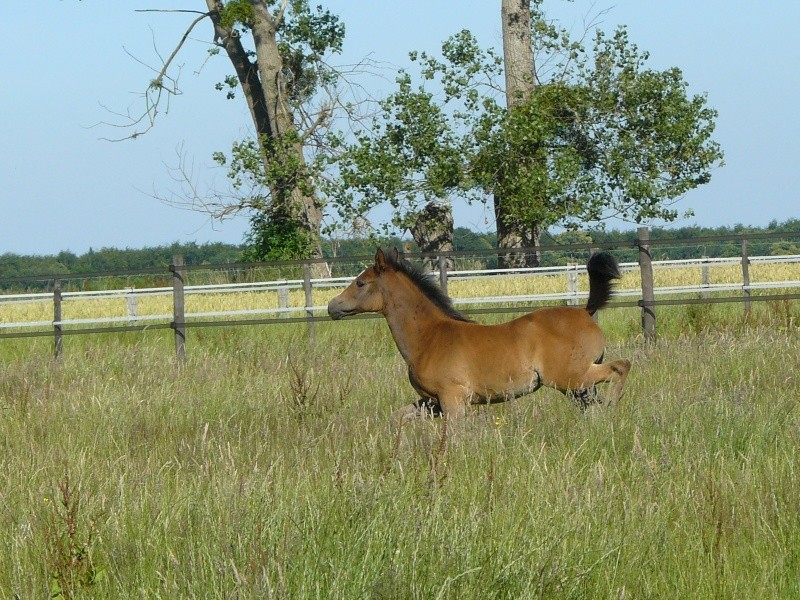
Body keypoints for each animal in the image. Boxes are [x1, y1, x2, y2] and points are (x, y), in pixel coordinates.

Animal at [326, 248, 632, 422]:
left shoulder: (452, 399)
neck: (428, 338)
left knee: (621, 366)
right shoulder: (431, 402)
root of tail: (585, 311)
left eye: (360, 283)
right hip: (577, 387)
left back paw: (613, 405)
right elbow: (397, 418)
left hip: (570, 377)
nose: (331, 306)